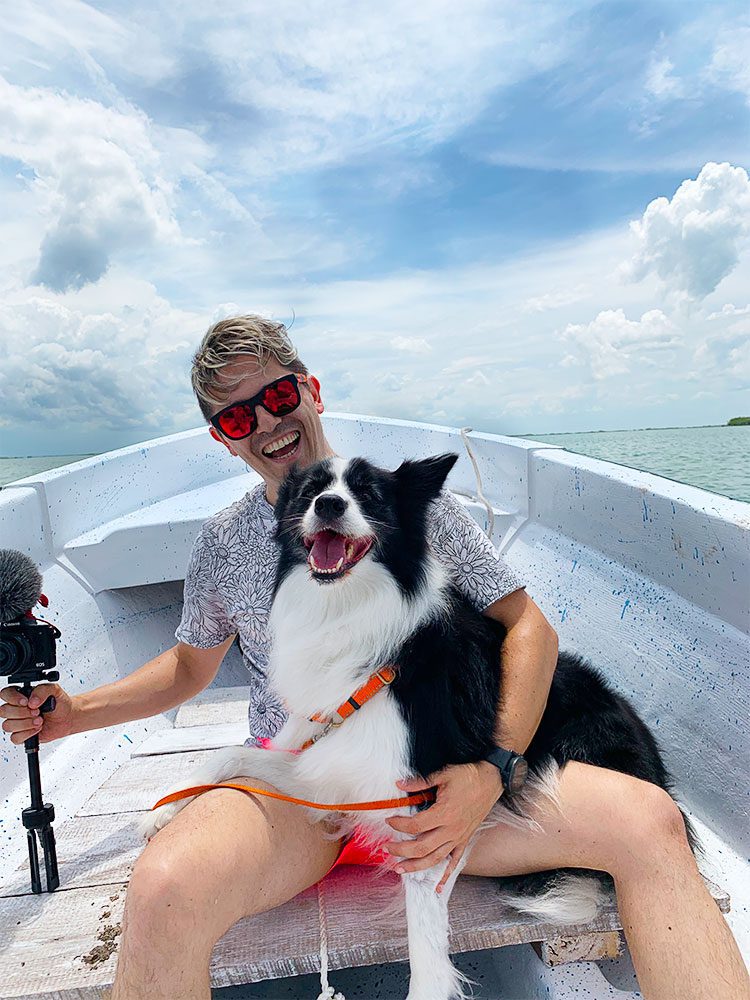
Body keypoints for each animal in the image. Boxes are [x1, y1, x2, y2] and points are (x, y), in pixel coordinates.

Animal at [150, 454, 696, 1000]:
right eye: (310, 491)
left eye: (368, 494)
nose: (328, 505)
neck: (346, 613)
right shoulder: (328, 763)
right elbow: (231, 754)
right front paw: (164, 808)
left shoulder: (424, 810)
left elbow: (428, 953)